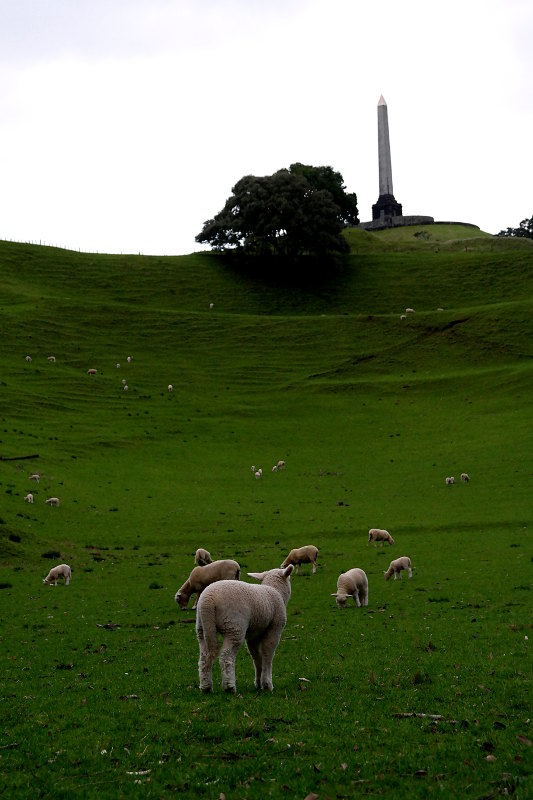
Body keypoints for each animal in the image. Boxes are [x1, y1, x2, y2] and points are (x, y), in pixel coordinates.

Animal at [196, 565, 294, 693]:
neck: (275, 590)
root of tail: (208, 600)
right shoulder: (275, 628)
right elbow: (267, 654)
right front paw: (267, 685)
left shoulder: (254, 635)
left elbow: (256, 657)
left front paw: (258, 683)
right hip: (234, 626)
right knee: (226, 656)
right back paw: (229, 687)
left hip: (202, 627)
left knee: (204, 657)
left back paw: (206, 687)